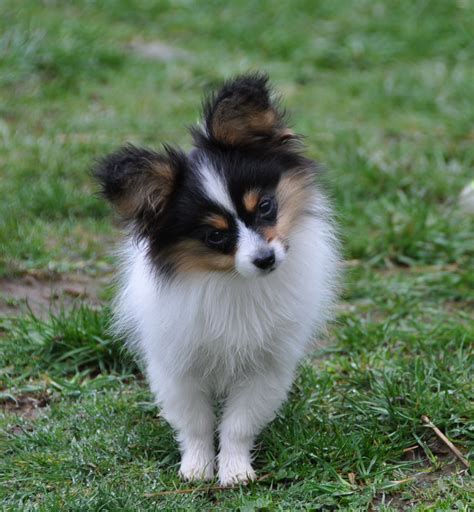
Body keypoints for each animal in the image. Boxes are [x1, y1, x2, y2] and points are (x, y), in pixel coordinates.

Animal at [94, 74, 340, 486]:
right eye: (214, 236)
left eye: (266, 206)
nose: (265, 259)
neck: (232, 282)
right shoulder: (178, 367)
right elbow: (196, 423)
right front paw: (196, 467)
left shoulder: (265, 367)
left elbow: (238, 424)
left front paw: (235, 469)